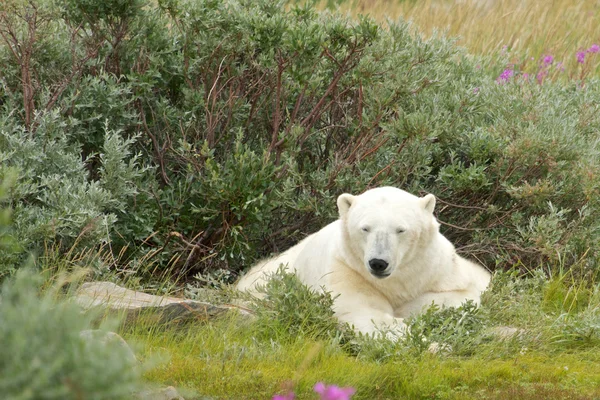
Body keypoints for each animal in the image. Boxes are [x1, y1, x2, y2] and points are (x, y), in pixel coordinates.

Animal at [237, 188, 490, 338]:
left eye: (401, 229)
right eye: (365, 228)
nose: (378, 263)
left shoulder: (435, 266)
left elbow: (463, 294)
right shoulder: (347, 270)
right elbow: (362, 311)